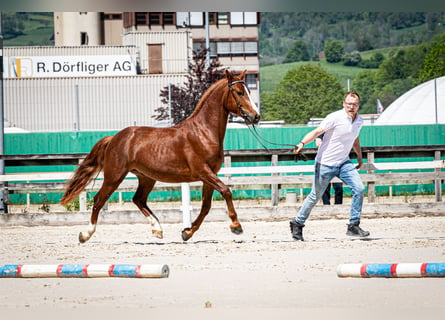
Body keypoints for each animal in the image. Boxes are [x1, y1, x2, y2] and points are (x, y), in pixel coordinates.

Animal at [59, 70, 260, 242]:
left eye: (249, 91)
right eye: (239, 92)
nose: (256, 117)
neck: (203, 132)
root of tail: (115, 138)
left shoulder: (210, 175)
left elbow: (206, 206)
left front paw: (187, 232)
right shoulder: (203, 171)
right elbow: (226, 191)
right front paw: (236, 226)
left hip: (146, 177)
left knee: (138, 199)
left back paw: (157, 229)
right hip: (114, 176)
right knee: (99, 200)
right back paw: (85, 234)